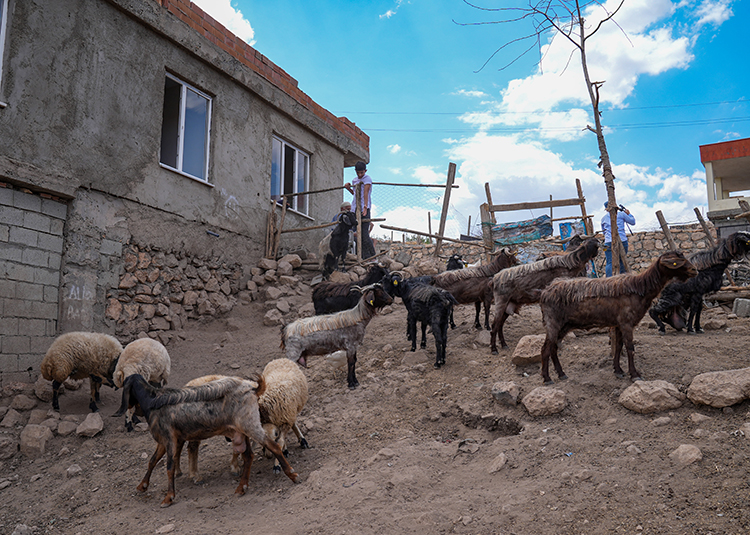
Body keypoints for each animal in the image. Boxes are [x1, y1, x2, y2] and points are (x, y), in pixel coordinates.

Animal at [113, 372, 298, 506]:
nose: (133, 411)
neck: (152, 401)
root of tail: (253, 389)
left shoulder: (169, 438)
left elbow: (169, 466)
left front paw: (168, 497)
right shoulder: (163, 441)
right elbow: (152, 460)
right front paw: (142, 486)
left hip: (250, 425)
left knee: (273, 446)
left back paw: (292, 475)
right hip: (242, 431)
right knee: (249, 456)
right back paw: (241, 487)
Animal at [540, 251, 700, 386]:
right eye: (676, 262)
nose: (695, 270)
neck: (640, 288)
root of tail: (545, 292)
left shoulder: (618, 324)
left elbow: (618, 346)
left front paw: (618, 371)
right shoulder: (626, 323)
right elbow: (630, 347)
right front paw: (634, 374)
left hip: (565, 325)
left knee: (553, 347)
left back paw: (561, 374)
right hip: (553, 322)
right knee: (545, 349)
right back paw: (547, 378)